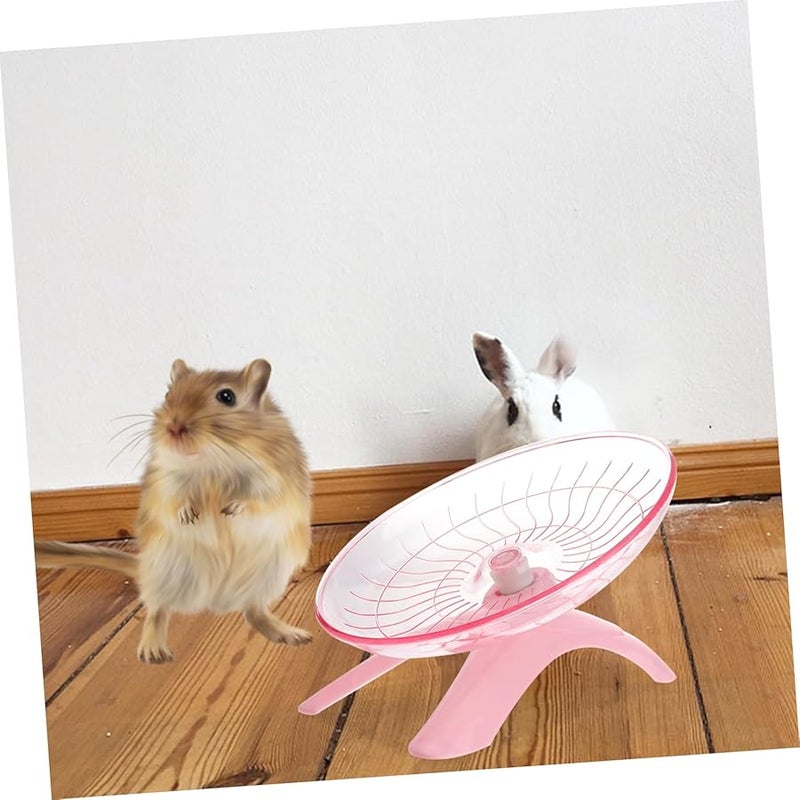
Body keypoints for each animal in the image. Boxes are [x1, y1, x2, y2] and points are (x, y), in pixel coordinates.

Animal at [34, 357, 313, 664]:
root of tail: (214, 600)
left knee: (254, 611)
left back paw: (292, 634)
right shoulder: (166, 479)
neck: (212, 460)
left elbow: (260, 498)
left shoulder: (277, 478)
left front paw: (231, 508)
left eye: (227, 397)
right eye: (168, 395)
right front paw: (188, 516)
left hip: (267, 575)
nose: (173, 427)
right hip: (167, 569)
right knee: (158, 610)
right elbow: (175, 500)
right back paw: (153, 651)